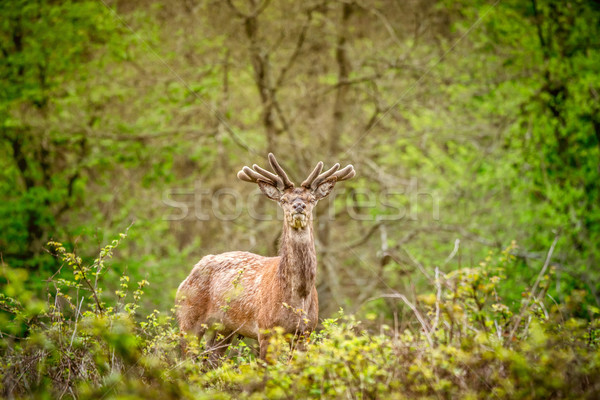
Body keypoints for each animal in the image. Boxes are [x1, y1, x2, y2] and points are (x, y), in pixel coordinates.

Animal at [176, 152, 354, 360]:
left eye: (311, 199)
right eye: (284, 200)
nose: (298, 206)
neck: (298, 296)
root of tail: (189, 275)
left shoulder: (306, 332)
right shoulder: (266, 329)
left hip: (223, 329)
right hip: (188, 317)